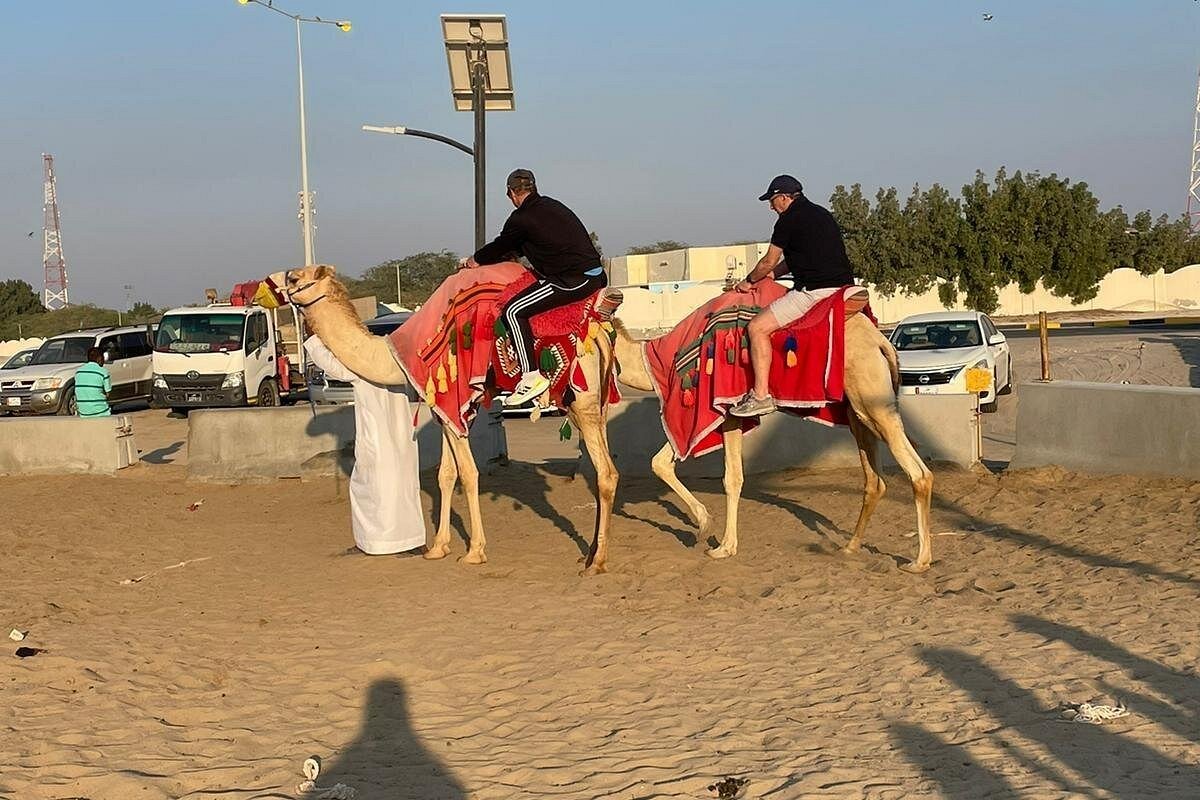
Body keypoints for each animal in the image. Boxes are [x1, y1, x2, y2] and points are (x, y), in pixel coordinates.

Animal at [276, 265, 622, 575]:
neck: (399, 353)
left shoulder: (455, 403)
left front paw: (474, 552)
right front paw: (437, 547)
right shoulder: (442, 412)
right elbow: (445, 474)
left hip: (582, 400)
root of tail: (599, 335)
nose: (272, 284)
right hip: (593, 403)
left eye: (294, 277)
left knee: (606, 474)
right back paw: (590, 554)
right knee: (603, 469)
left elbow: (468, 473)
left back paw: (598, 563)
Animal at [607, 306, 935, 573]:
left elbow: (732, 478)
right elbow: (660, 462)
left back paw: (919, 561)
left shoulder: (723, 409)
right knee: (874, 480)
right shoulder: (708, 419)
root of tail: (882, 341)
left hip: (872, 399)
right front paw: (703, 527)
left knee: (919, 474)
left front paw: (724, 546)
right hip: (857, 410)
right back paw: (850, 546)